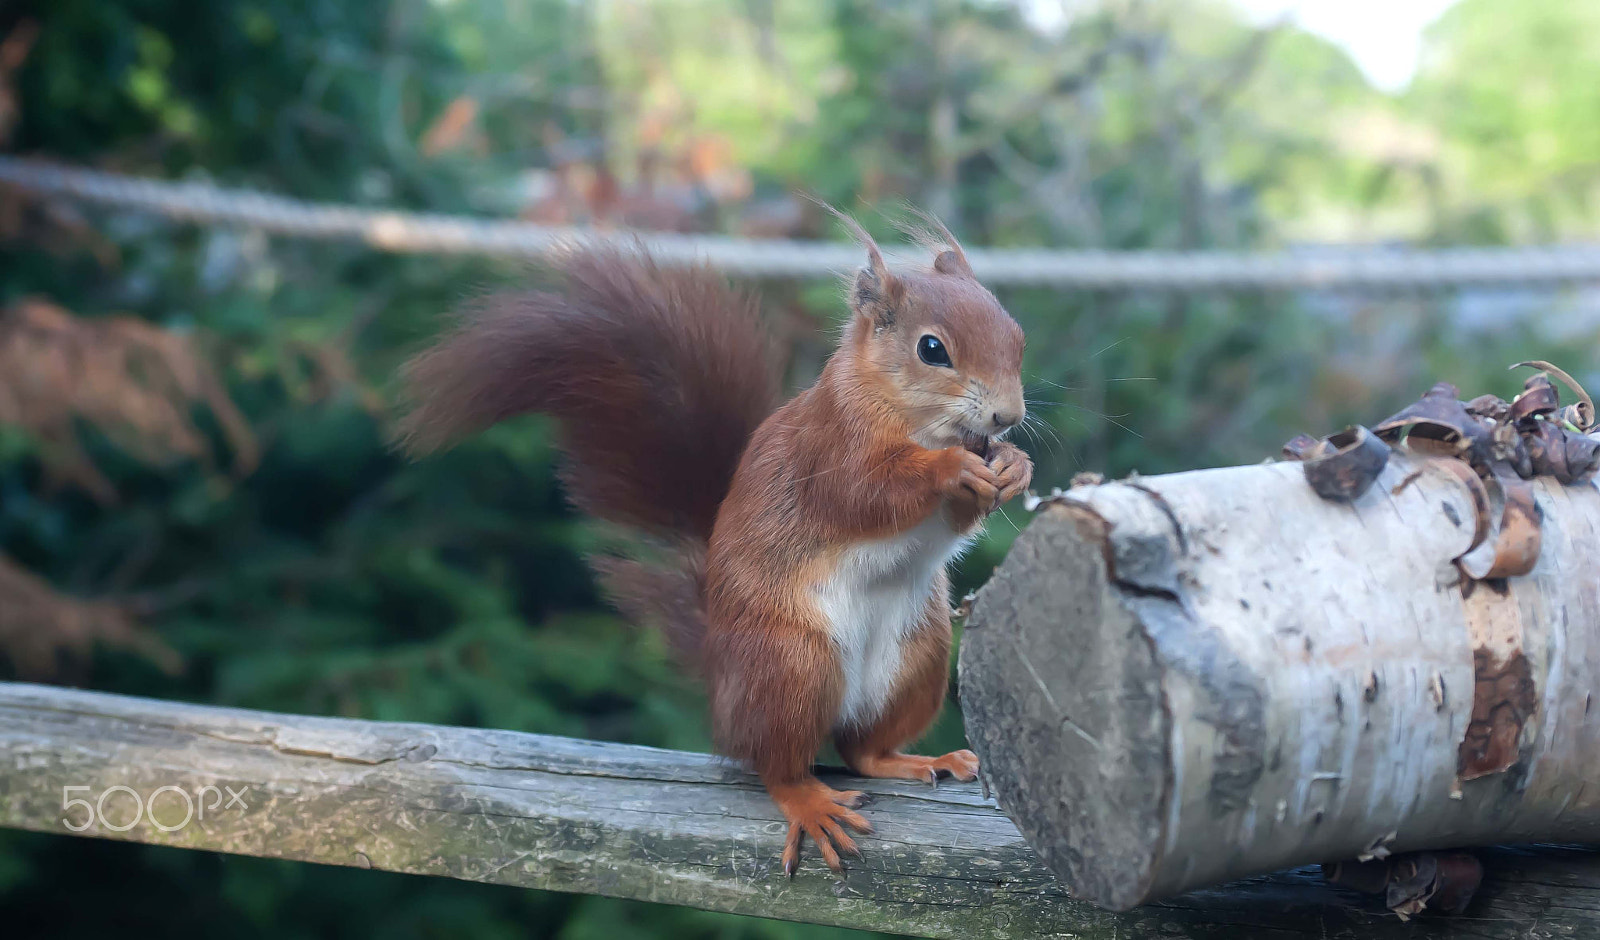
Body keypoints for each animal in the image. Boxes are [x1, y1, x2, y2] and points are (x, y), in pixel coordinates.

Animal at [393, 214, 1030, 876]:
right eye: (932, 349)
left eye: (1016, 335)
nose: (1008, 416)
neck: (912, 418)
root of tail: (722, 686)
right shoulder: (828, 450)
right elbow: (866, 492)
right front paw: (952, 467)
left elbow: (955, 518)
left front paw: (1013, 466)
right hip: (790, 666)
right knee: (775, 765)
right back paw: (809, 803)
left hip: (916, 655)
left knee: (861, 751)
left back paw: (920, 760)